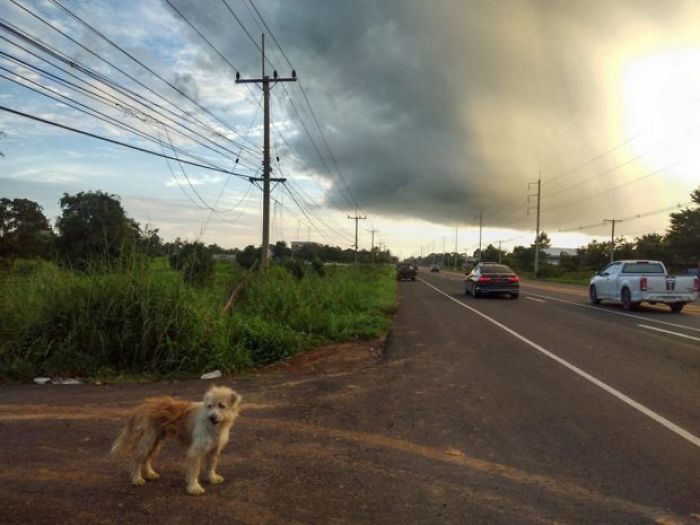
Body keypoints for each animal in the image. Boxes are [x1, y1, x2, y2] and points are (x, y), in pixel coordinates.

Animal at [112, 382, 243, 494]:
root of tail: (140, 407)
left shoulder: (214, 449)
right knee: (137, 459)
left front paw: (212, 478)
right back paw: (136, 478)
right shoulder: (195, 452)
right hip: (147, 441)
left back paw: (149, 474)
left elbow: (211, 465)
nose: (212, 417)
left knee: (146, 459)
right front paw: (194, 487)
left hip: (155, 442)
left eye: (222, 406)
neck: (214, 425)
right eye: (209, 406)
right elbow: (194, 471)